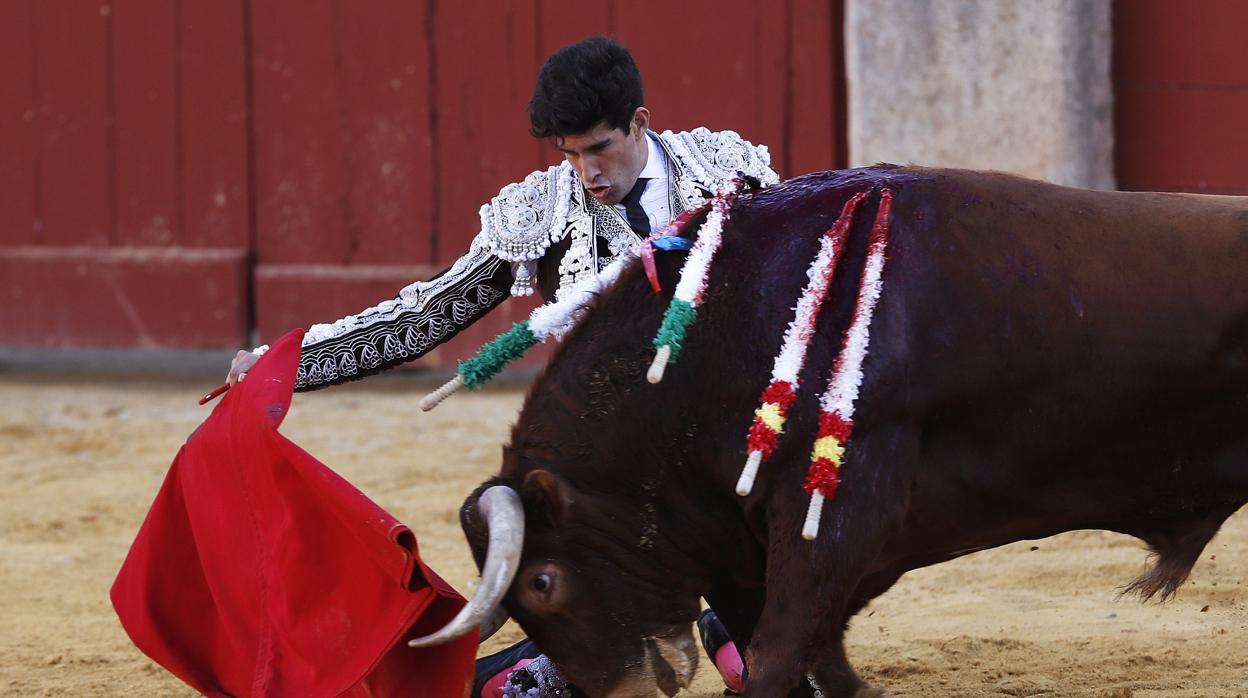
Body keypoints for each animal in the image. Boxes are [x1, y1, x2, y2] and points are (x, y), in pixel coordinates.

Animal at [411, 169, 1248, 698]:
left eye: (543, 583)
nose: (618, 691)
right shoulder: (755, 538)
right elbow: (810, 645)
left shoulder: (837, 512)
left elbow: (782, 649)